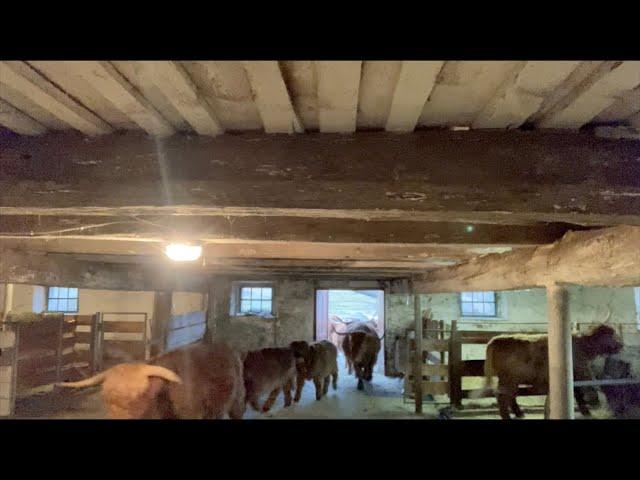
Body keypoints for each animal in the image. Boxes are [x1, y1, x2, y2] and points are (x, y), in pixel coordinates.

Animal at [482, 322, 624, 420]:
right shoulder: (579, 372)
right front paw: (587, 411)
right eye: (608, 335)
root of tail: (498, 338)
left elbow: (577, 393)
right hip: (508, 379)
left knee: (508, 396)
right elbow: (578, 392)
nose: (621, 345)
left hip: (510, 380)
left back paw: (519, 413)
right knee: (503, 396)